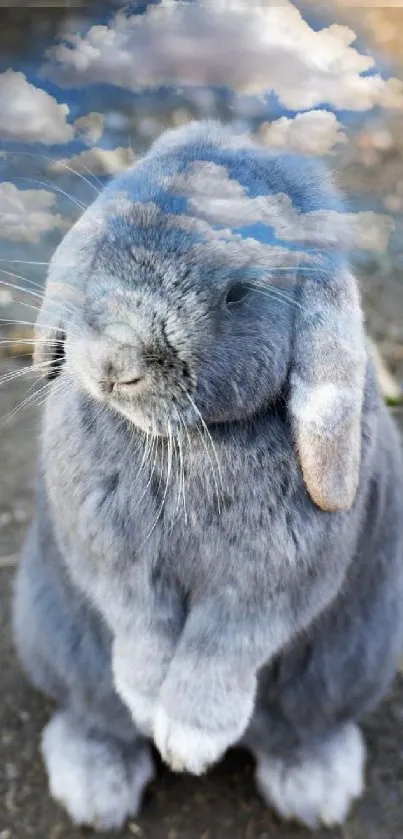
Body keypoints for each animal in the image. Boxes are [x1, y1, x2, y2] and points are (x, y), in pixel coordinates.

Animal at [12, 120, 403, 832]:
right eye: (110, 230)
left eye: (238, 291)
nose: (113, 362)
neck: (191, 441)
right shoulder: (116, 563)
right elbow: (140, 626)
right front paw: (149, 706)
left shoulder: (267, 586)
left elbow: (222, 647)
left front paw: (189, 743)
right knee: (94, 716)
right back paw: (94, 788)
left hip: (348, 668)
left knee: (301, 730)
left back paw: (316, 790)